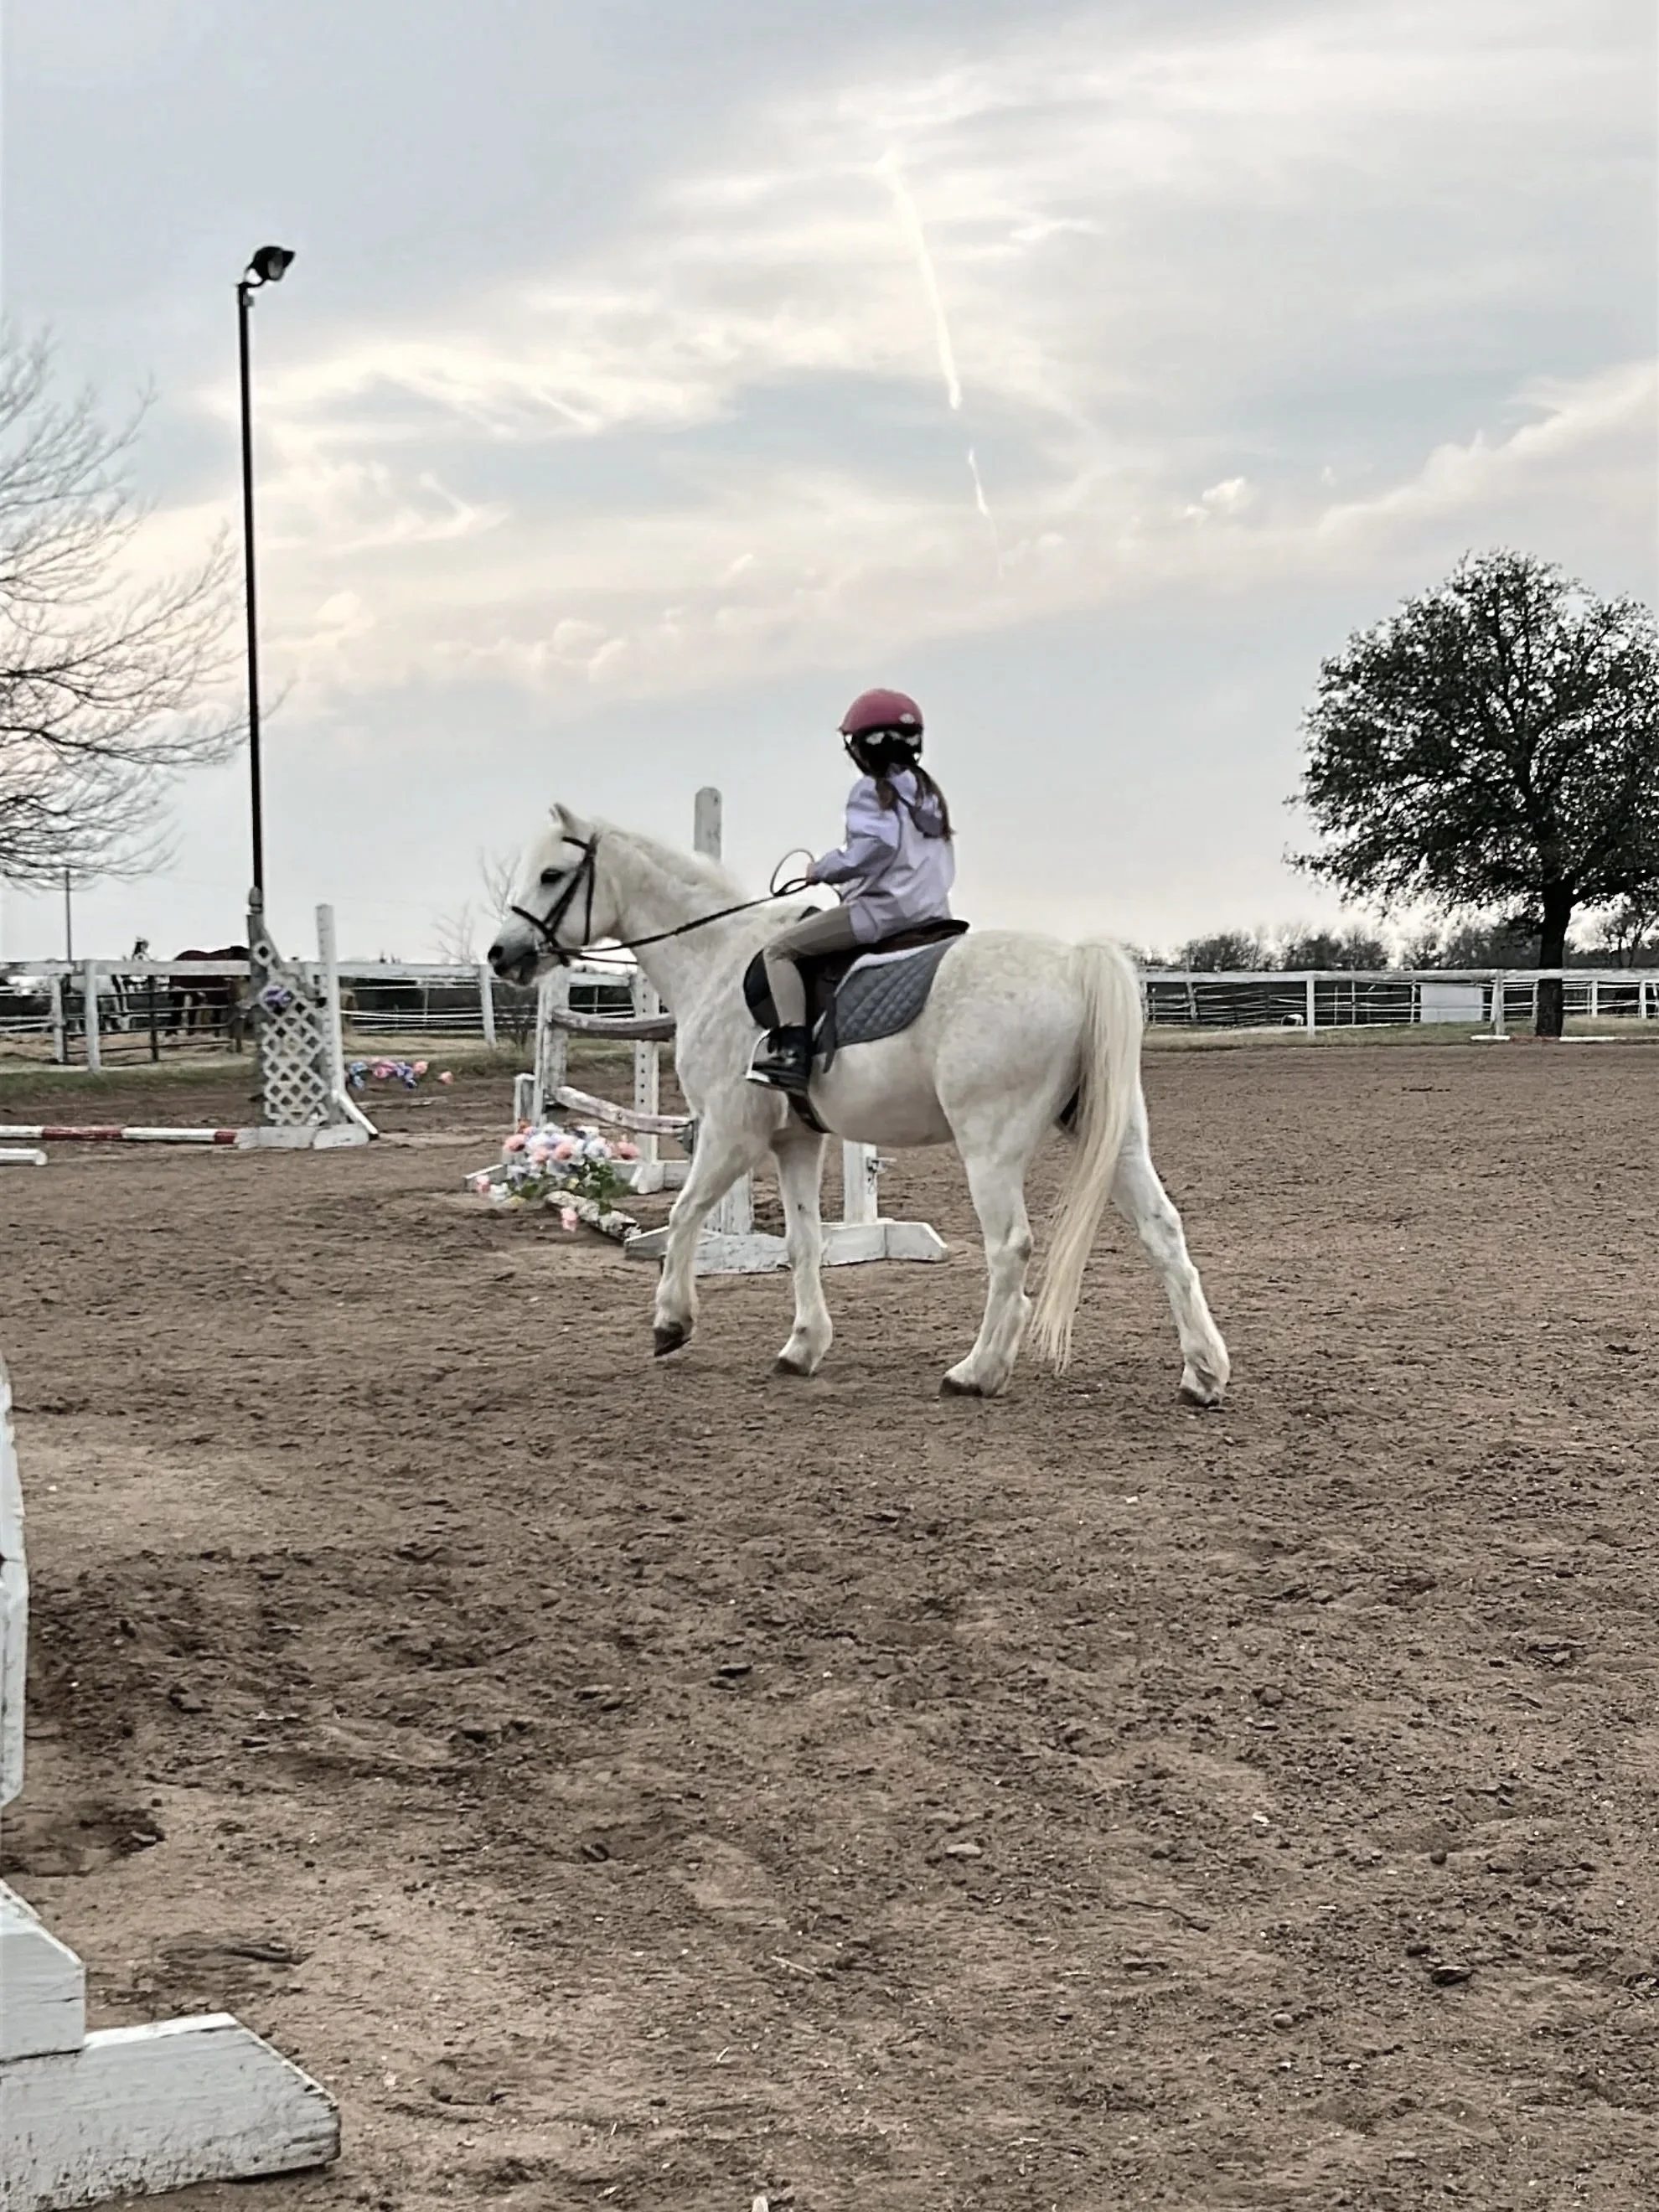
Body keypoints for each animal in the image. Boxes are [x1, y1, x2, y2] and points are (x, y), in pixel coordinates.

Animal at [487, 806, 1230, 1403]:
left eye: (552, 874)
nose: (501, 954)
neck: (716, 958)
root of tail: (1074, 963)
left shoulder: (730, 1132)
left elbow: (683, 1212)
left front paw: (672, 1322)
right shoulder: (795, 1140)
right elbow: (803, 1242)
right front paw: (803, 1346)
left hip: (989, 1148)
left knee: (1011, 1249)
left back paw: (977, 1372)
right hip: (1118, 1141)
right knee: (1164, 1233)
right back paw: (1203, 1373)